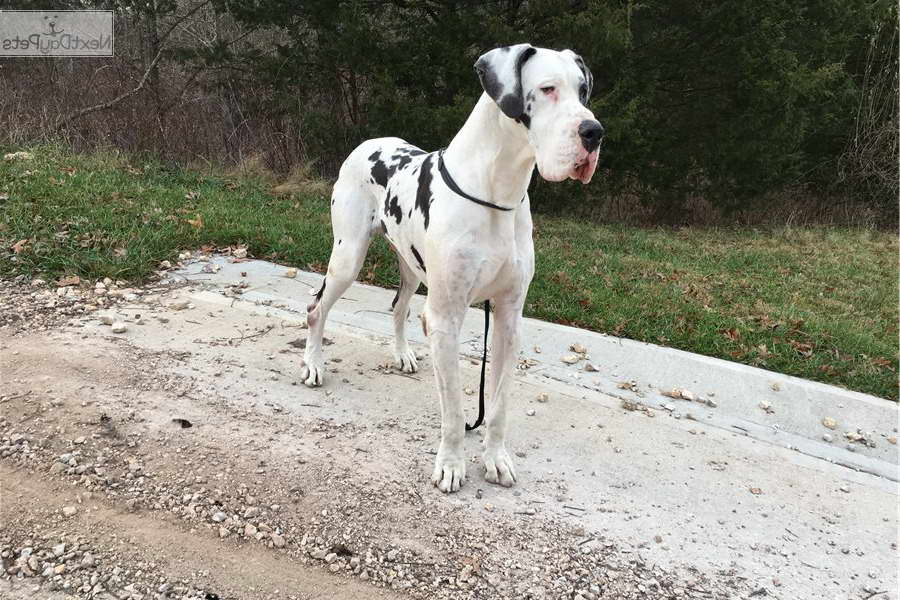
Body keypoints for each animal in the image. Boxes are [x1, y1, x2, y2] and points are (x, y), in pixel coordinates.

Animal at [302, 42, 604, 492]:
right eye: (548, 88)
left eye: (583, 91)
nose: (594, 132)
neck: (498, 193)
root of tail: (369, 141)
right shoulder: (446, 318)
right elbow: (455, 412)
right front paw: (450, 464)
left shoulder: (508, 318)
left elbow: (498, 405)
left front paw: (496, 458)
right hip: (348, 258)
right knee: (316, 307)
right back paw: (314, 365)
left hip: (411, 268)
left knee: (398, 307)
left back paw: (402, 354)